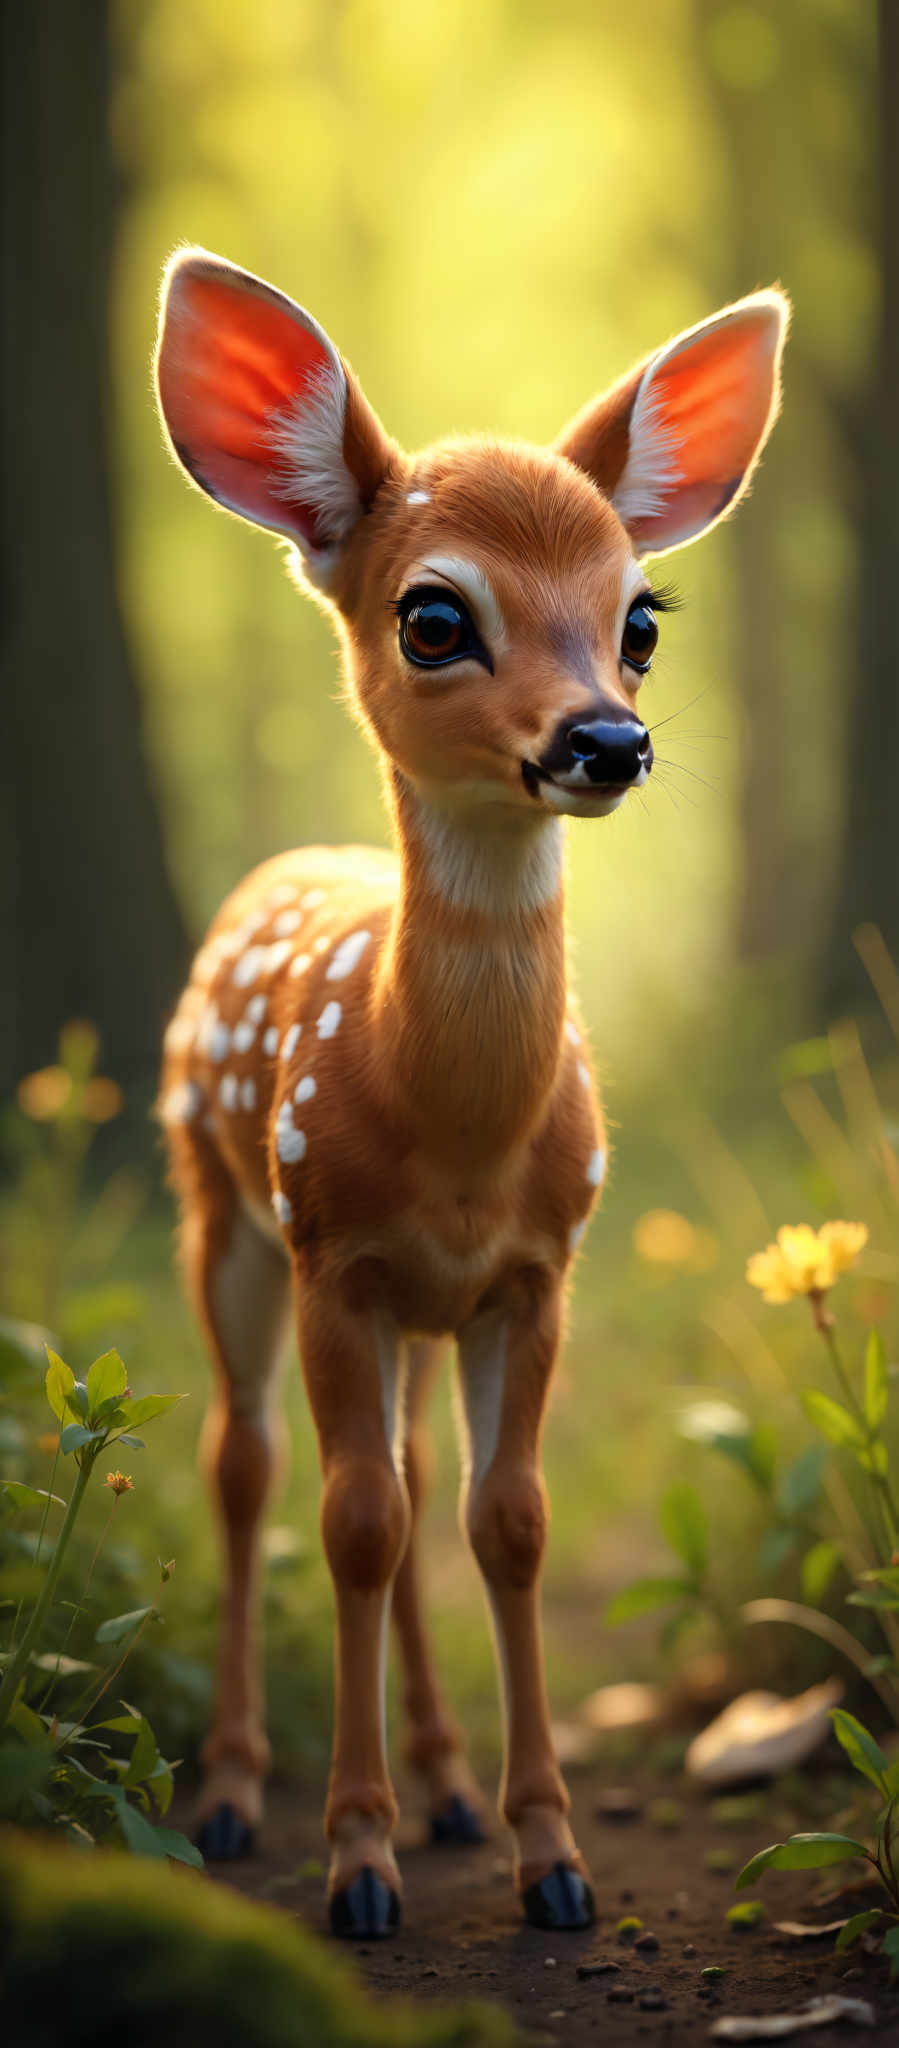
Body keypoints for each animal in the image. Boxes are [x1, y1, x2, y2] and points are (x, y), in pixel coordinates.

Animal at [154, 256, 786, 1933]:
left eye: (639, 620)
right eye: (431, 616)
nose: (605, 741)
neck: (441, 1130)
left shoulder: (531, 1267)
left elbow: (502, 1521)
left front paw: (547, 1856)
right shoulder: (334, 1253)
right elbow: (350, 1522)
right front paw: (352, 1861)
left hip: (413, 1313)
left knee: (414, 1469)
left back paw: (442, 1787)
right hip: (218, 1211)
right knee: (243, 1467)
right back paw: (235, 1793)